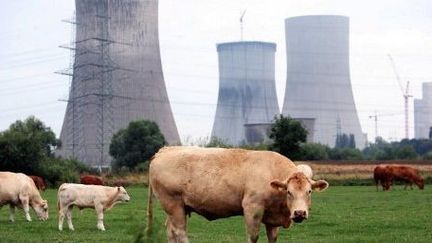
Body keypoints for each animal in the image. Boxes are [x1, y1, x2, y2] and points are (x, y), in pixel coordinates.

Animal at [147, 146, 330, 243]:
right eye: (289, 192)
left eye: (309, 191)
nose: (299, 213)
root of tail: (165, 150)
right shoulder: (252, 208)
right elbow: (253, 237)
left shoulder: (272, 217)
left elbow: (272, 238)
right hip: (173, 204)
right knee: (180, 232)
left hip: (177, 207)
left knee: (170, 230)